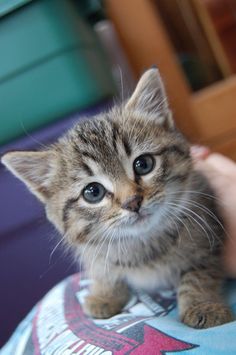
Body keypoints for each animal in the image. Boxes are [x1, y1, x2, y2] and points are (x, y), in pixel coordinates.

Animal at [1, 68, 233, 330]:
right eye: (93, 192)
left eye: (143, 164)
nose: (132, 202)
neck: (142, 244)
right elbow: (102, 268)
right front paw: (104, 294)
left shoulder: (208, 230)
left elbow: (199, 274)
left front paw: (203, 305)